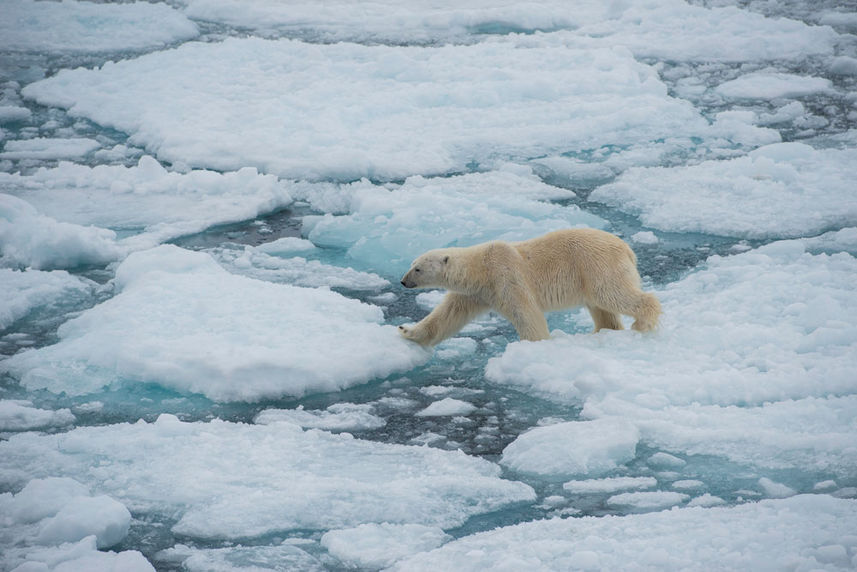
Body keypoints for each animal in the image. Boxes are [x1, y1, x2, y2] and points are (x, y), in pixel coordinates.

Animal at [398, 227, 660, 344]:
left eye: (417, 268)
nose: (403, 281)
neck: (480, 268)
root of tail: (627, 249)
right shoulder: (475, 293)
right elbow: (447, 316)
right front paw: (407, 331)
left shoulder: (505, 276)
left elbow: (525, 312)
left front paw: (535, 344)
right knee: (601, 307)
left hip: (596, 264)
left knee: (611, 294)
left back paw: (642, 323)